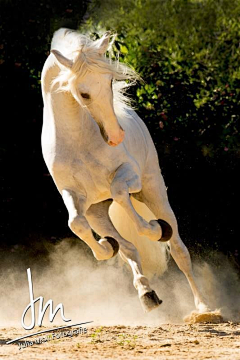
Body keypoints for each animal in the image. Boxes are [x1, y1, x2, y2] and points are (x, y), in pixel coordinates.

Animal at [41, 28, 210, 312]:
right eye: (83, 94)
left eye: (110, 82)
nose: (115, 137)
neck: (79, 138)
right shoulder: (74, 195)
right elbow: (76, 223)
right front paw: (105, 248)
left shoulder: (129, 176)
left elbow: (121, 194)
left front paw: (156, 229)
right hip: (98, 212)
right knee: (128, 247)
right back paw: (147, 293)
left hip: (153, 190)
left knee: (177, 249)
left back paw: (203, 307)